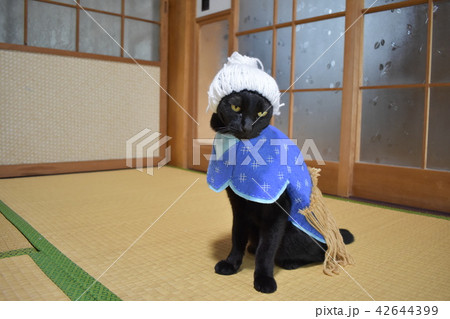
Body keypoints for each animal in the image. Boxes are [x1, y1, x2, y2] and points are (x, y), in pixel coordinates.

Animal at [211, 90, 356, 296]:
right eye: (235, 107)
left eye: (262, 113)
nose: (247, 126)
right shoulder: (238, 208)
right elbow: (237, 237)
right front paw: (231, 264)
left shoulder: (276, 212)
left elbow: (267, 249)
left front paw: (264, 278)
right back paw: (252, 248)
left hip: (293, 236)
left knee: (324, 253)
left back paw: (291, 262)